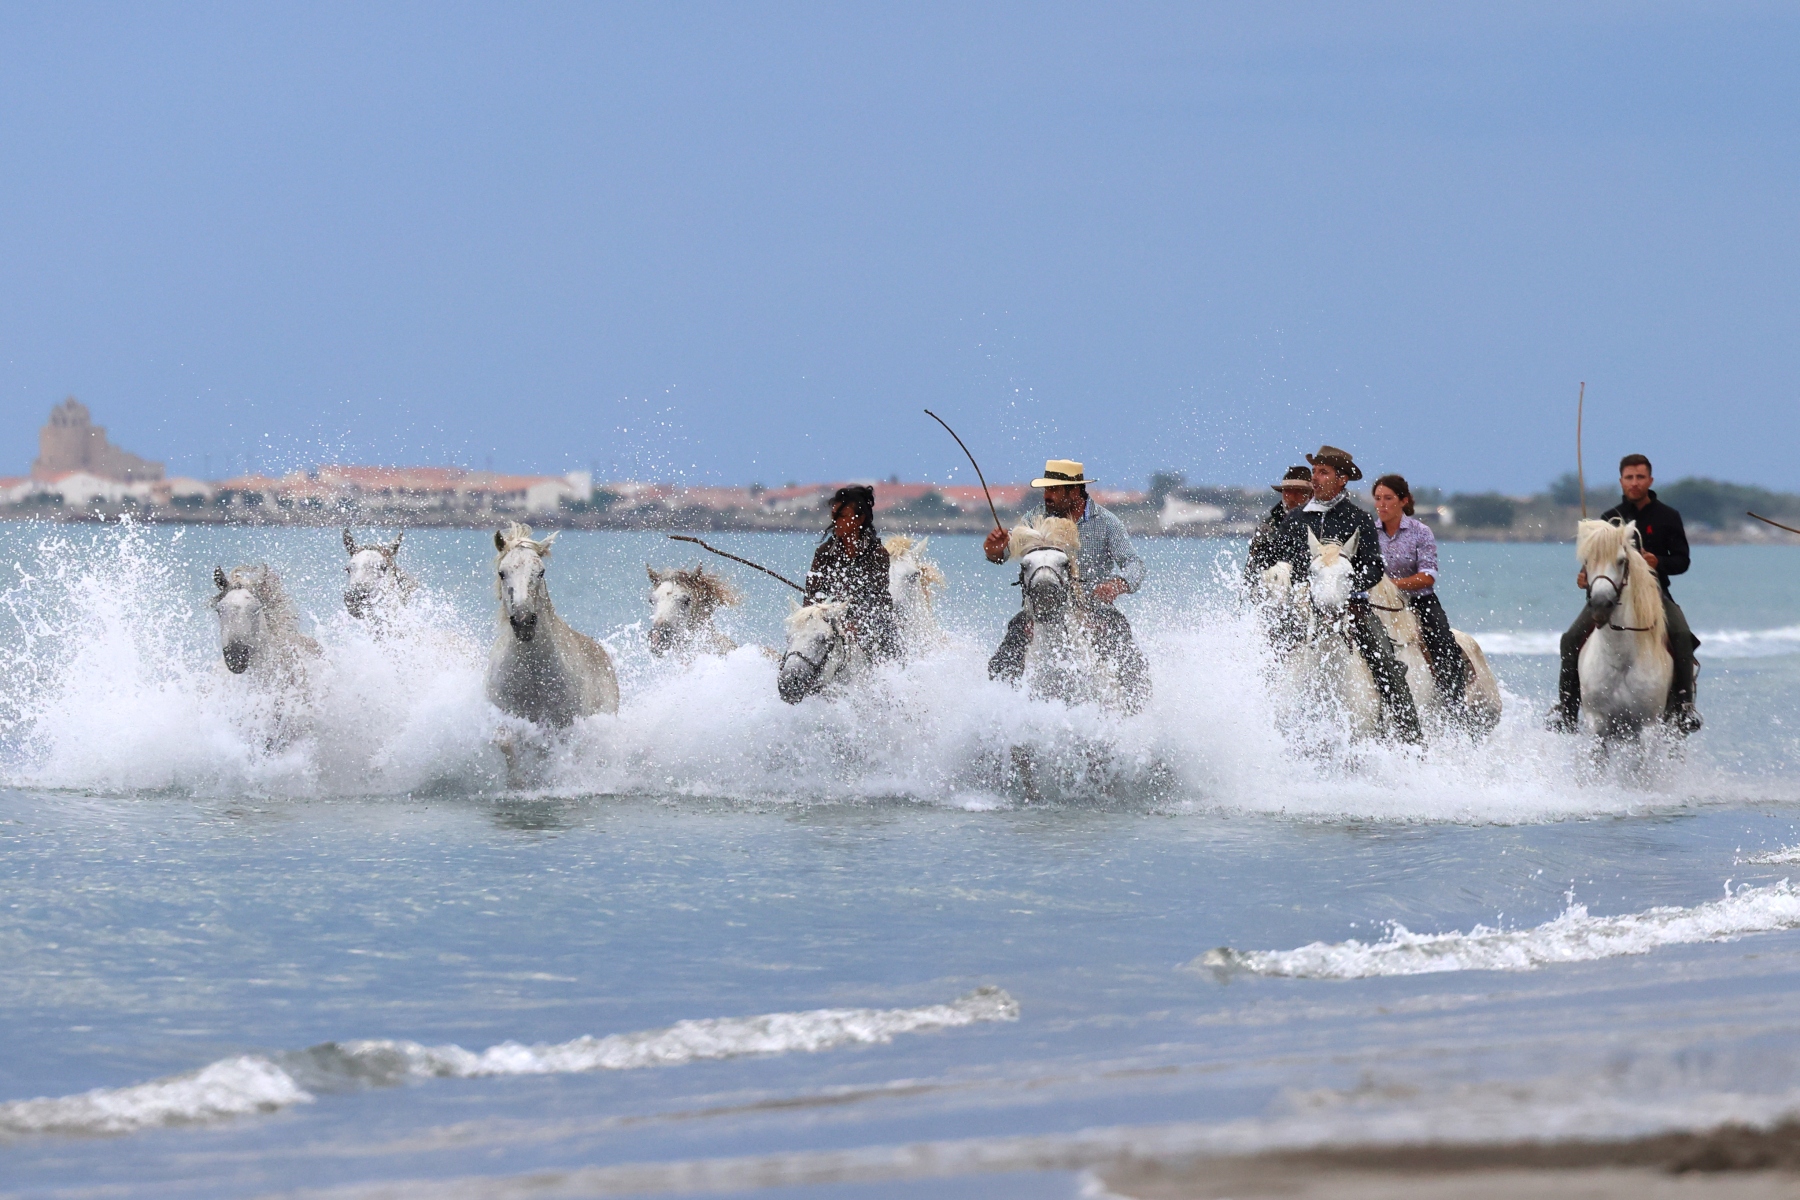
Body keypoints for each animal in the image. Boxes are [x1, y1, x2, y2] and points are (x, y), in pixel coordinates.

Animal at [1573, 518, 1673, 740]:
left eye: (1621, 561)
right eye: (1587, 561)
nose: (1600, 605)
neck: (1619, 659)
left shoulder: (1648, 726)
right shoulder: (1597, 721)